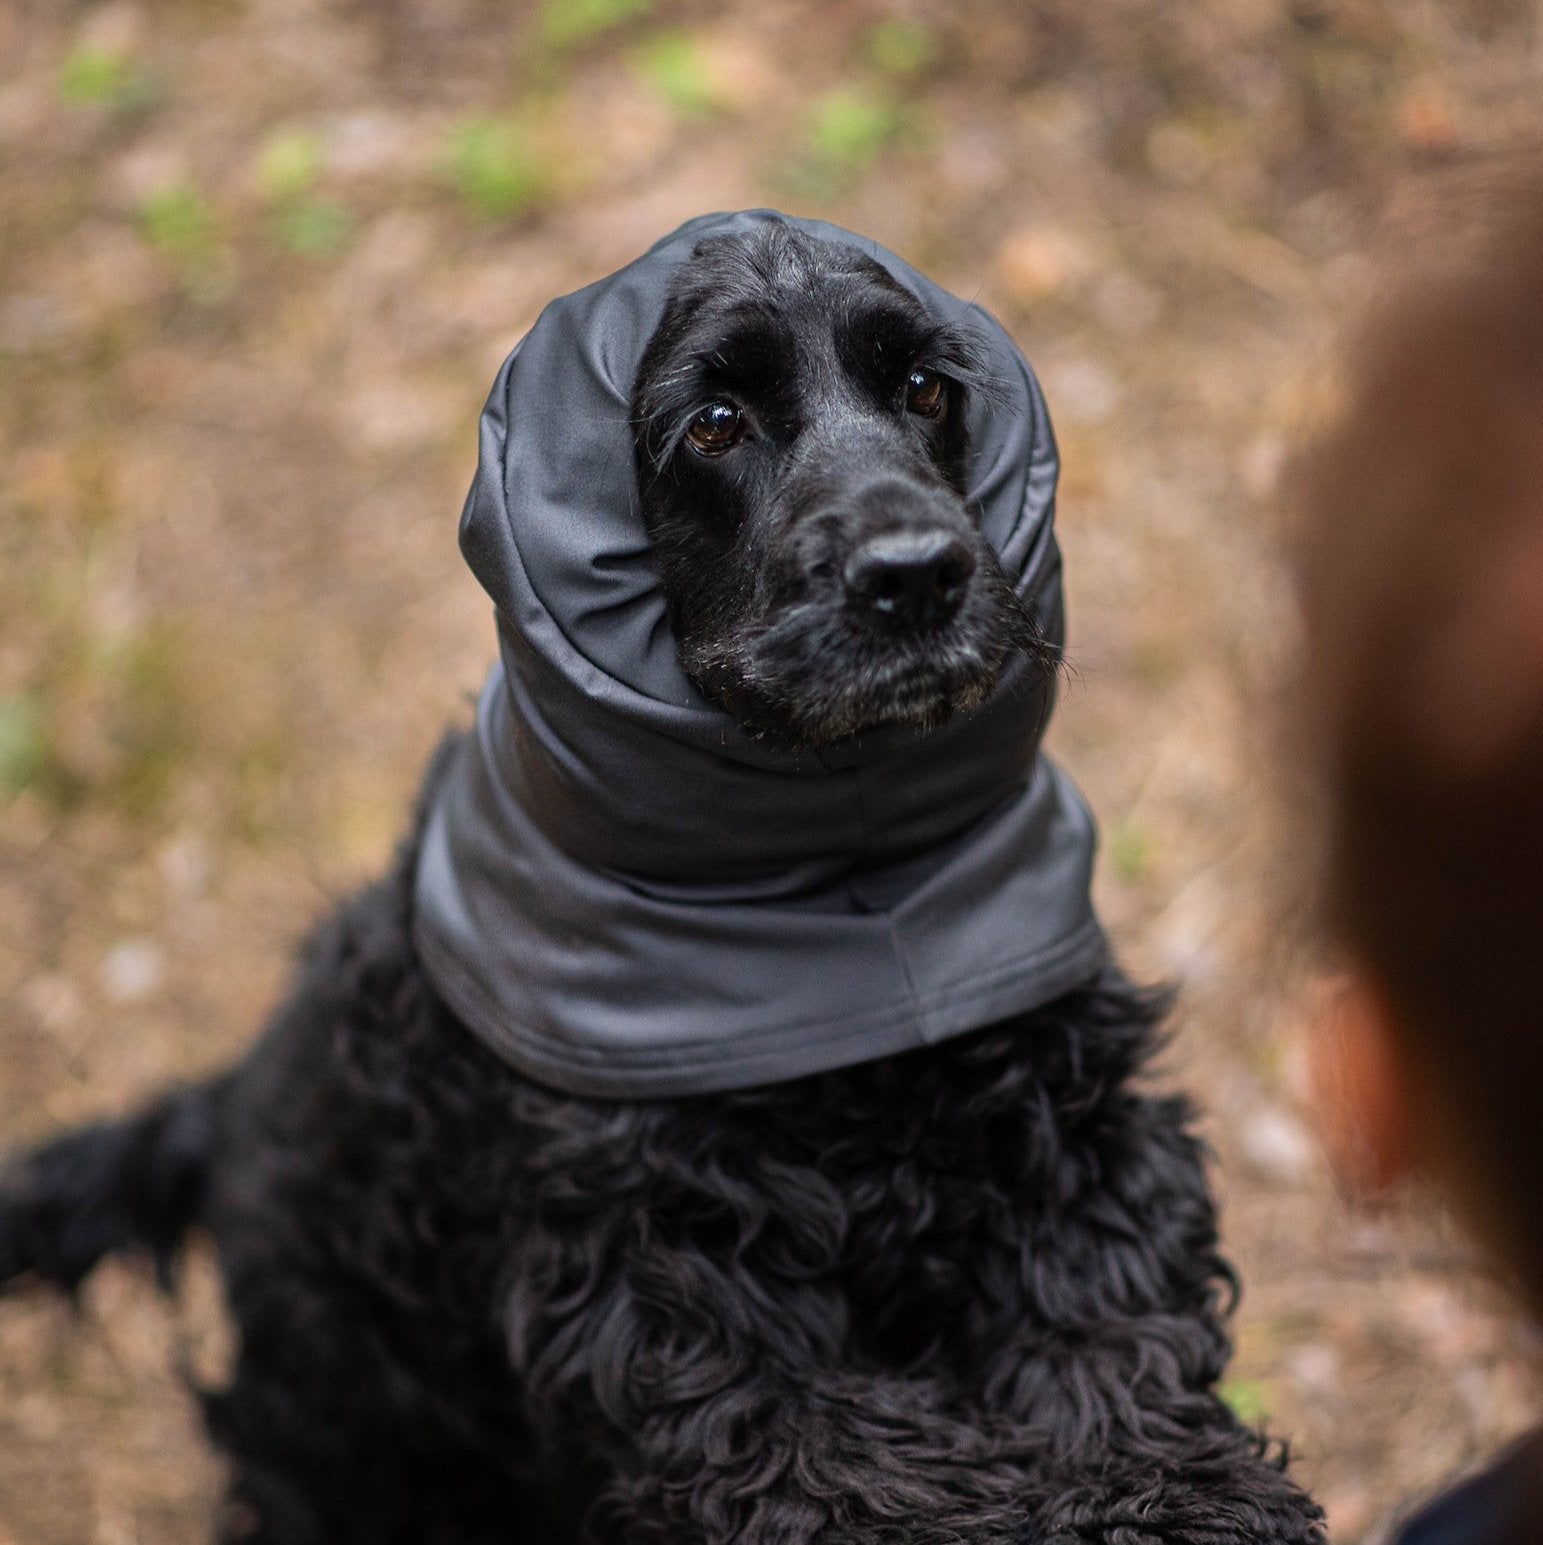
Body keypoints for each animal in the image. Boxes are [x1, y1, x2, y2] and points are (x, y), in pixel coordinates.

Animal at [0, 220, 1328, 1545]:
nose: (917, 575)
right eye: (715, 422)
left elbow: (1111, 1350)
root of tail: (222, 1107)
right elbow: (875, 1477)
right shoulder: (677, 1310)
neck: (840, 909)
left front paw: (1185, 1496)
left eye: (924, 388)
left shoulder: (1073, 1148)